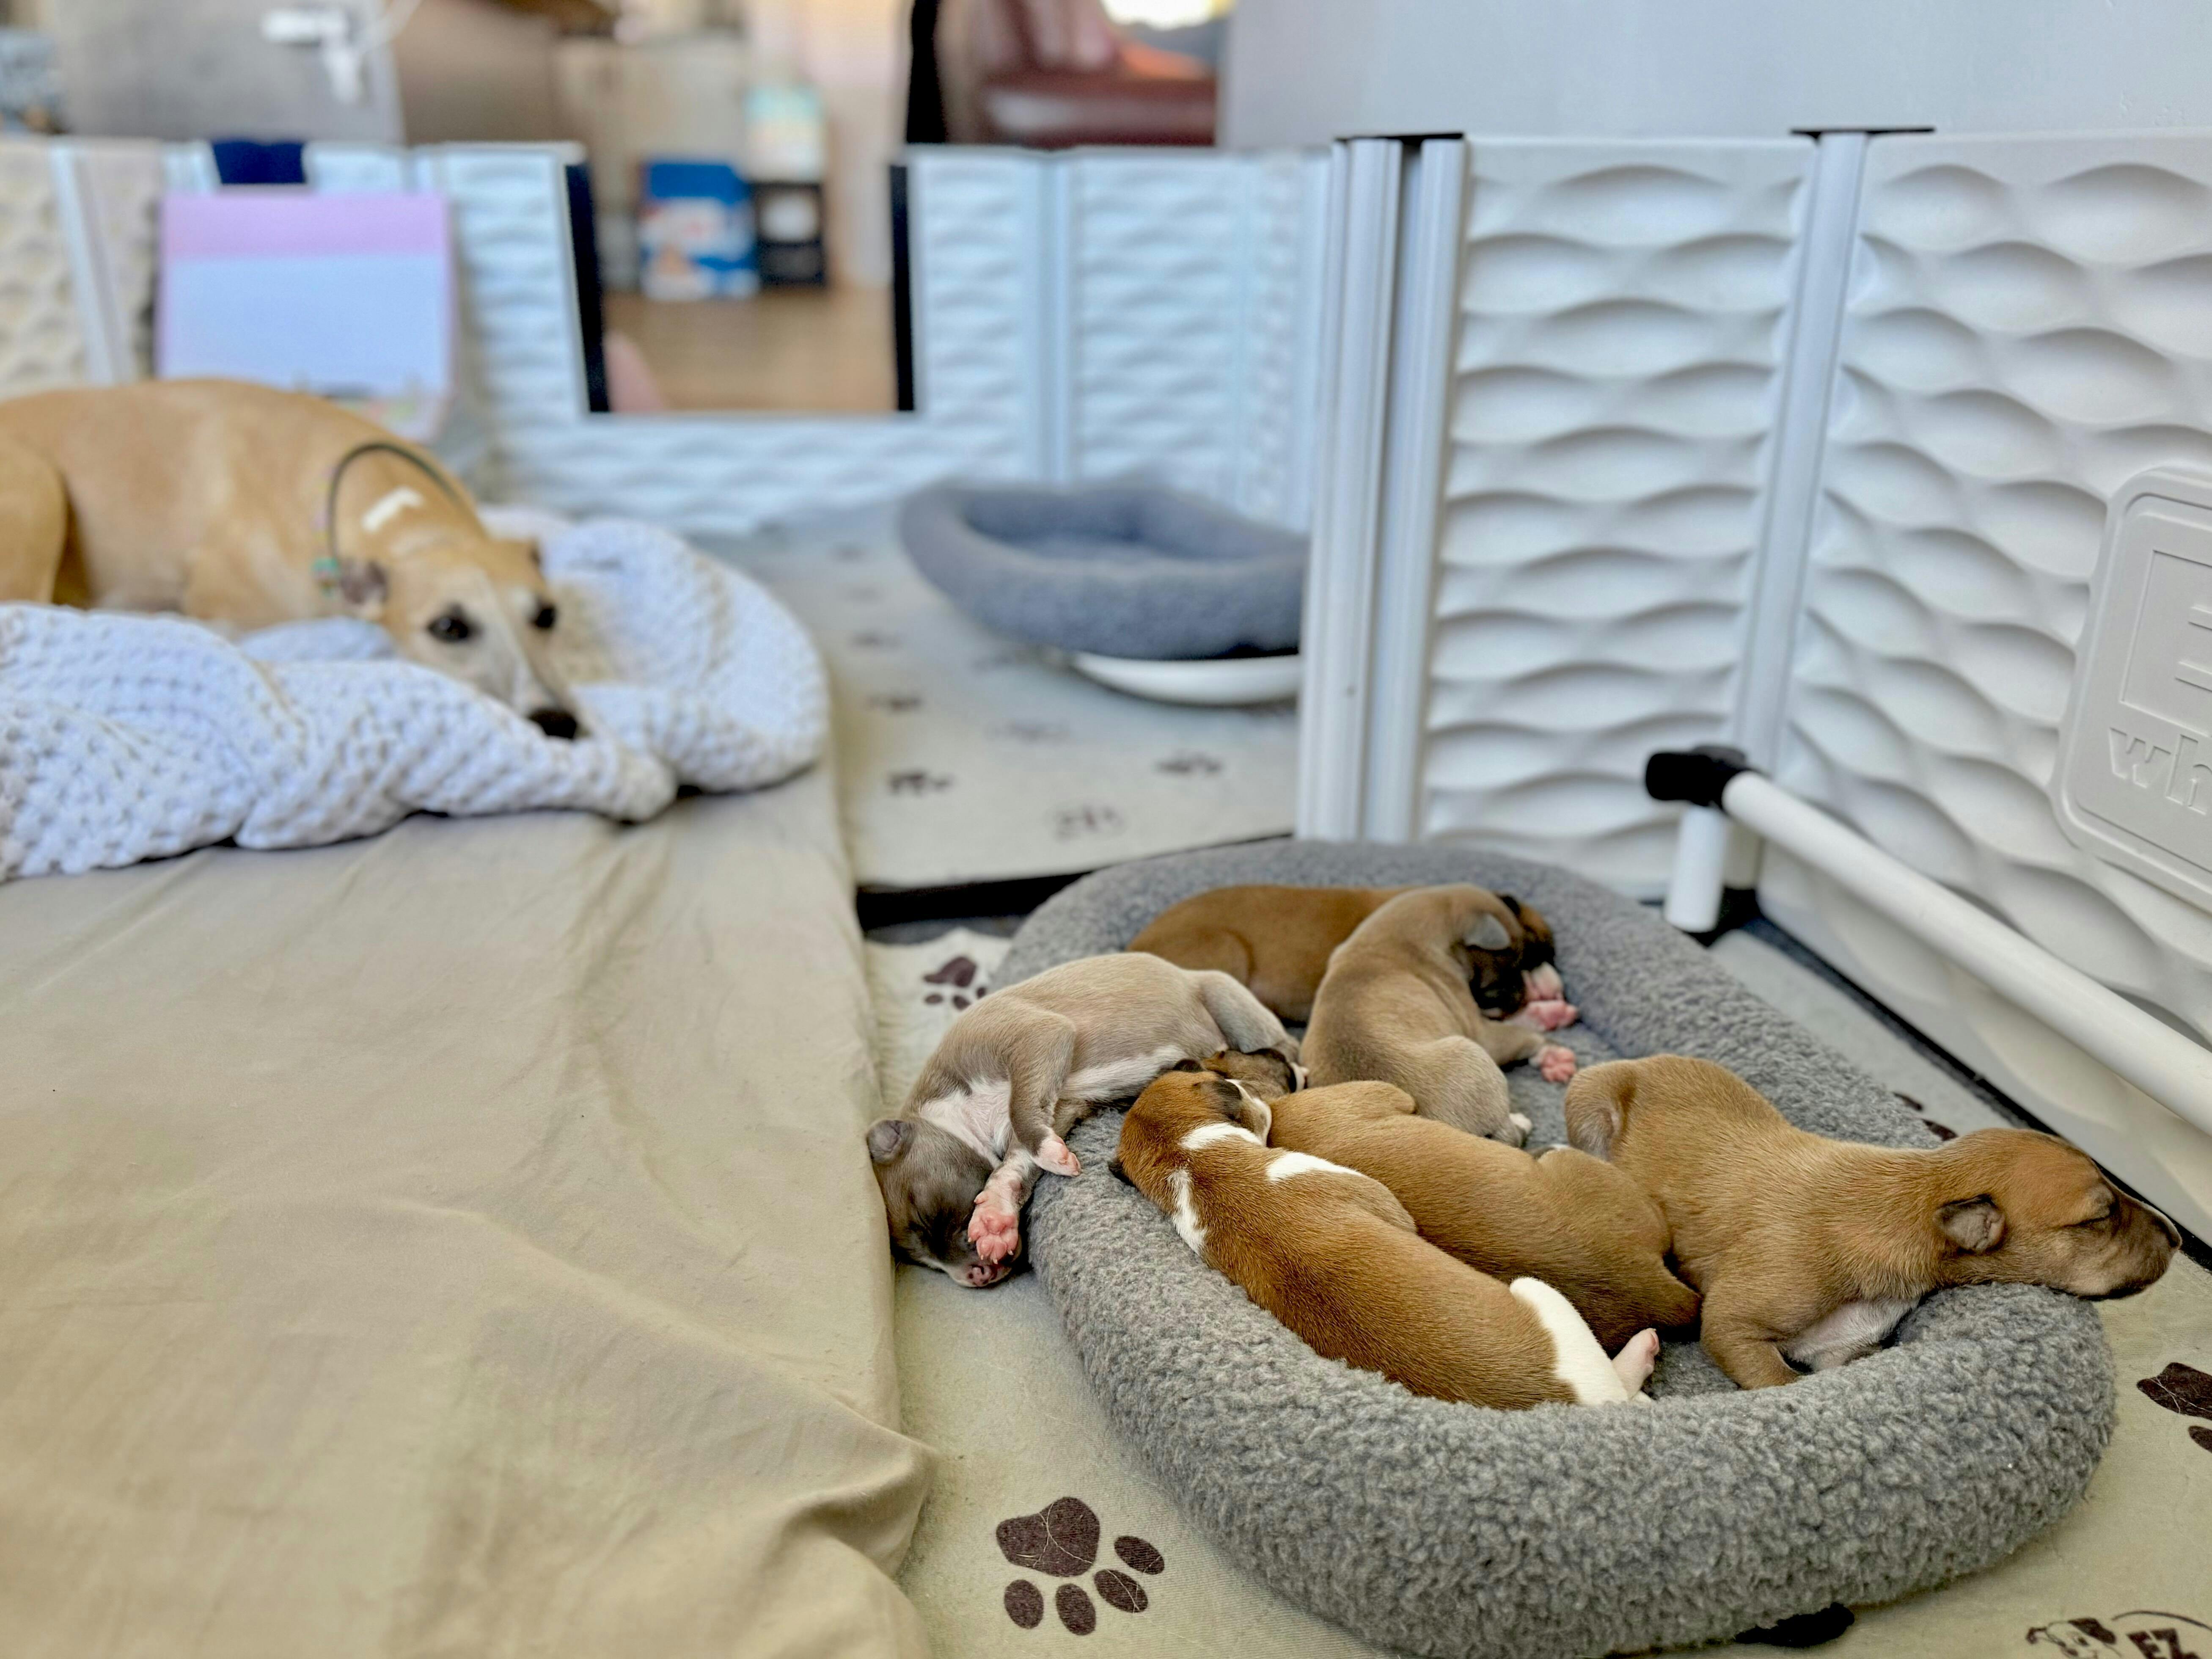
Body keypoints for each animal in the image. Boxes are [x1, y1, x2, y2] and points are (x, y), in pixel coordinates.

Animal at [866, 952, 1299, 1287]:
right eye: (924, 1264)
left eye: (926, 1216)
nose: (974, 1279)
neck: (960, 1113)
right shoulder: (1061, 1106)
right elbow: (1017, 1162)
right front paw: (996, 1217)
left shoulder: (1034, 1036)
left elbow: (1022, 1113)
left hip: (1226, 996)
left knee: (1284, 1048)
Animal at [1302, 885, 1577, 1146]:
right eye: (1500, 982)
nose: (1520, 993)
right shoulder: (1479, 1030)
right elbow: (1522, 1034)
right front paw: (1552, 1047)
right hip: (1472, 1053)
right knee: (1509, 1133)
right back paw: (1521, 1120)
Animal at [1565, 1055, 2181, 1389]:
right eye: (2100, 1216)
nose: (2177, 1237)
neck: (1913, 1204)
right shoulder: (1732, 1324)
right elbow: (1776, 1377)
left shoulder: (1842, 1351)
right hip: (1589, 1101)